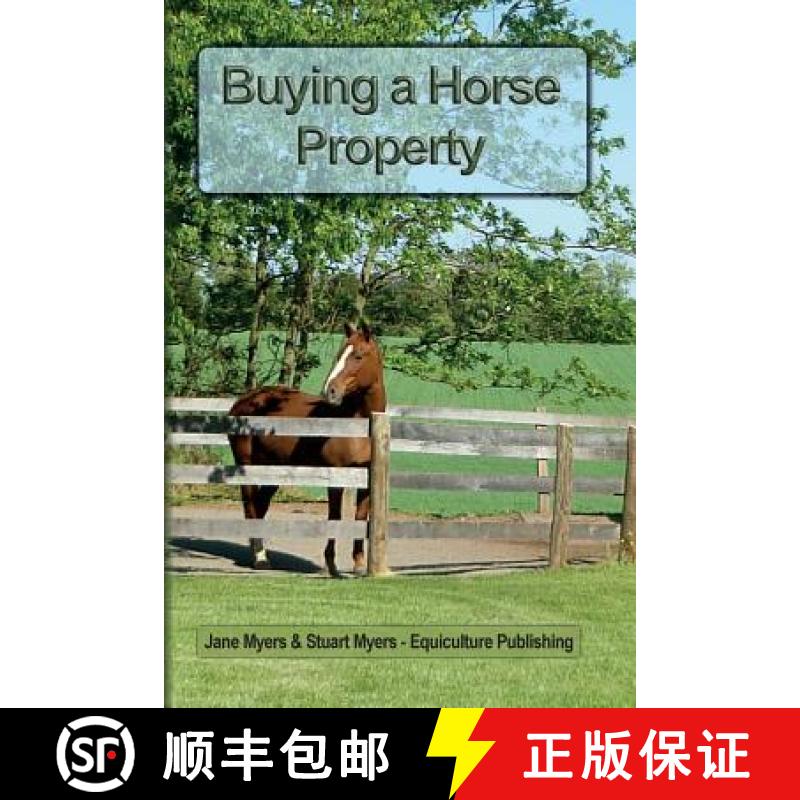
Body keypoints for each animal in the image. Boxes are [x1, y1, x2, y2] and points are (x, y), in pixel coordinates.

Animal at [228, 323, 386, 576]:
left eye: (358, 356)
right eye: (339, 355)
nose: (330, 391)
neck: (358, 427)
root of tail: (244, 401)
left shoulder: (366, 480)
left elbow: (361, 518)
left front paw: (359, 565)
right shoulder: (336, 478)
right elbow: (335, 517)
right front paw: (330, 565)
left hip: (274, 469)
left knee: (260, 506)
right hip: (248, 466)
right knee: (251, 506)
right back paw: (260, 558)